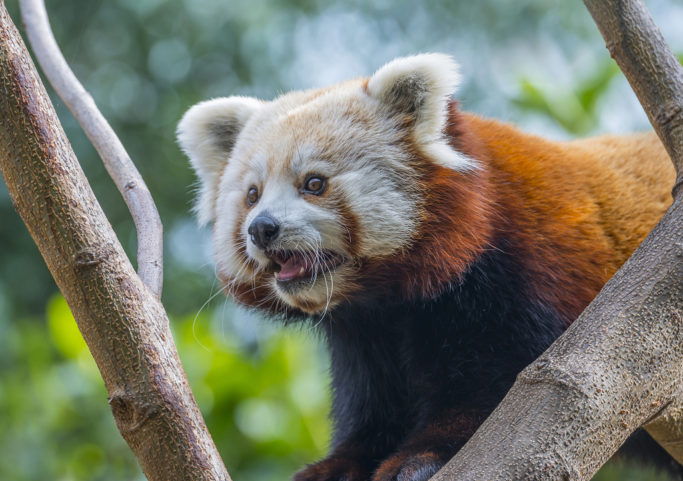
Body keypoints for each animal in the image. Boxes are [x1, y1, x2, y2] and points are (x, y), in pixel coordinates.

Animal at [176, 54, 680, 478]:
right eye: (252, 194)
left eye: (314, 184)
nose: (262, 229)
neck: (389, 295)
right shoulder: (365, 332)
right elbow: (377, 410)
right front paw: (336, 467)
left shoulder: (524, 279)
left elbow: (494, 394)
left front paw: (418, 458)